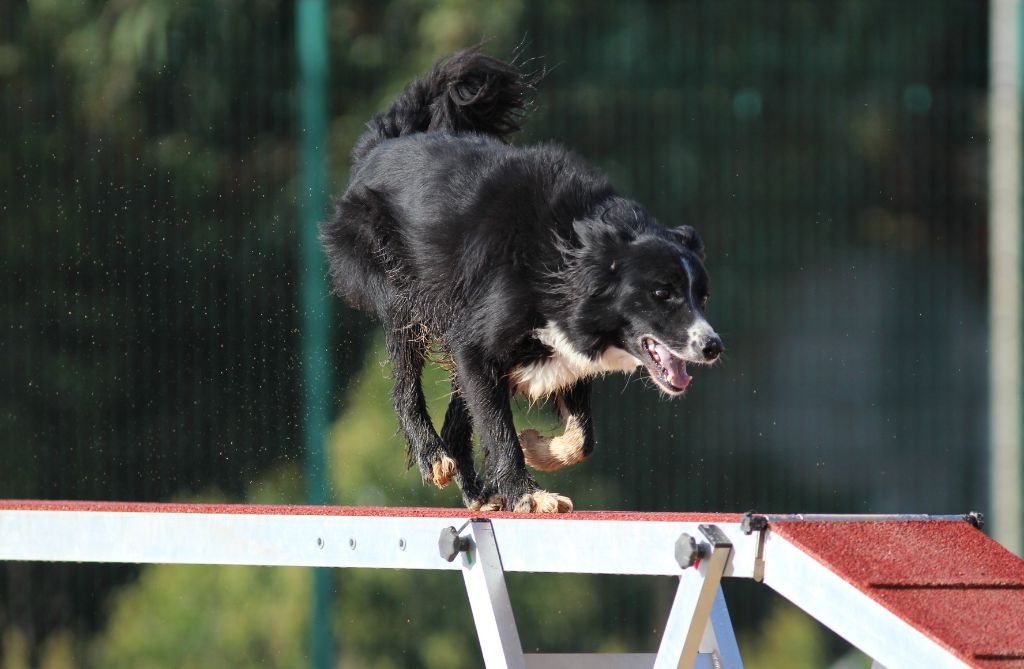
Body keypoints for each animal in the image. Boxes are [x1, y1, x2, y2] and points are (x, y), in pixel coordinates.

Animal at [323, 49, 724, 512]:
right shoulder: (483, 330)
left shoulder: (563, 345)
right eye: (662, 293)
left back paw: (478, 492)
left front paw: (538, 448)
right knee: (407, 378)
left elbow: (581, 438)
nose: (713, 347)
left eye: (702, 296)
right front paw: (528, 493)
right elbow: (496, 422)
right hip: (397, 284)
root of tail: (380, 145)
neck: (570, 260)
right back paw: (436, 458)